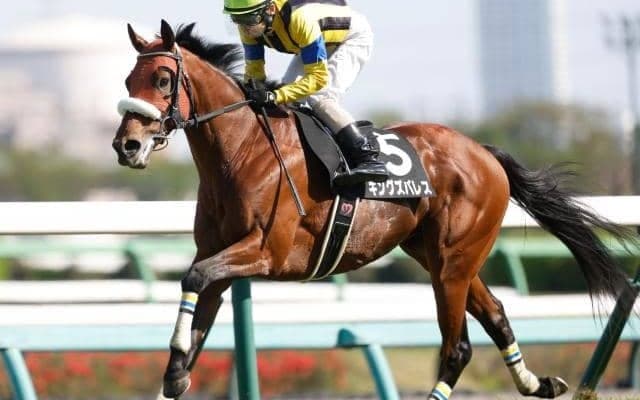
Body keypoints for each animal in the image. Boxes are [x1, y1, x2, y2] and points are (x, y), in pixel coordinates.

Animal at [113, 20, 634, 399]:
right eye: (127, 80)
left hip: (453, 261)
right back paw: (537, 383)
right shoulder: (222, 257)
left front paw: (177, 360)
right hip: (439, 255)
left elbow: (194, 276)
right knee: (497, 314)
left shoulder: (267, 252)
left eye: (163, 78)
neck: (243, 152)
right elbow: (198, 309)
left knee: (457, 348)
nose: (127, 145)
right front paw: (176, 371)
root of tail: (484, 153)